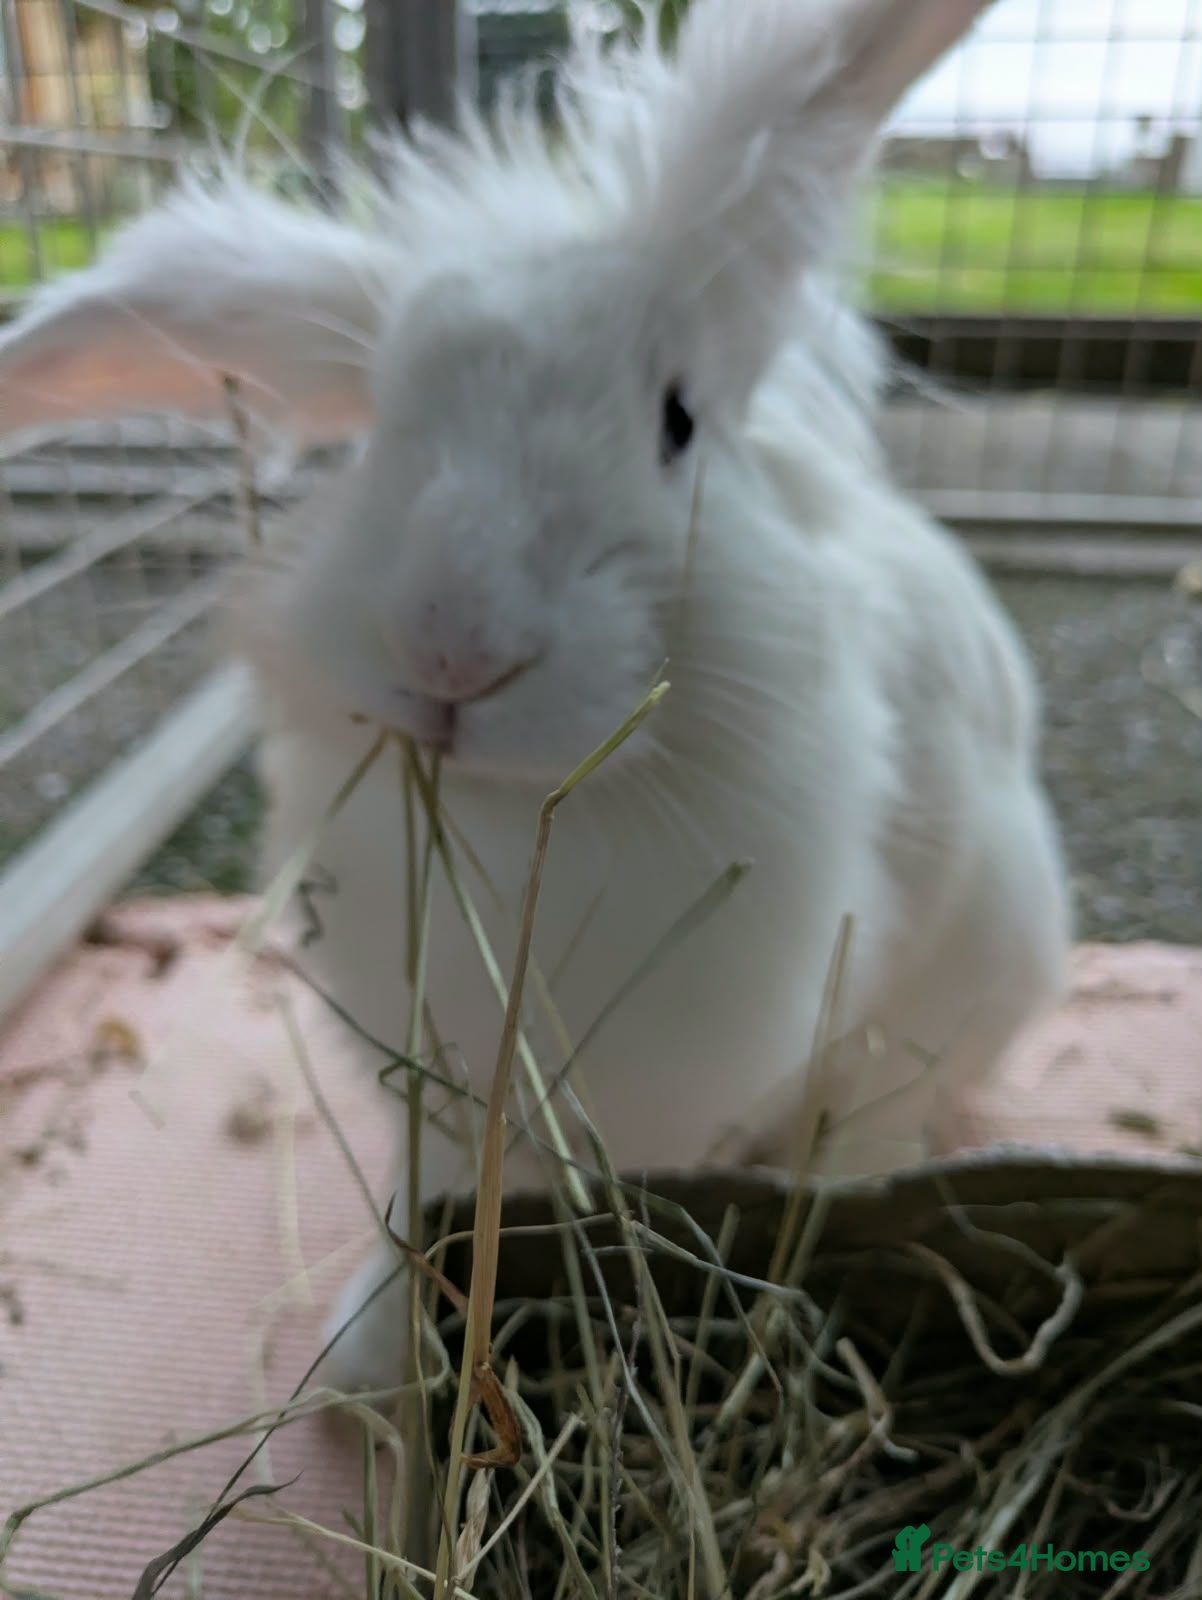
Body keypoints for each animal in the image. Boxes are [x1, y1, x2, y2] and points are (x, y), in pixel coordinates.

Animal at [0, 0, 1071, 1396]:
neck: (521, 830)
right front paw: (372, 1353)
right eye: (381, 433)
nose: (452, 652)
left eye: (676, 422)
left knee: (872, 1122)